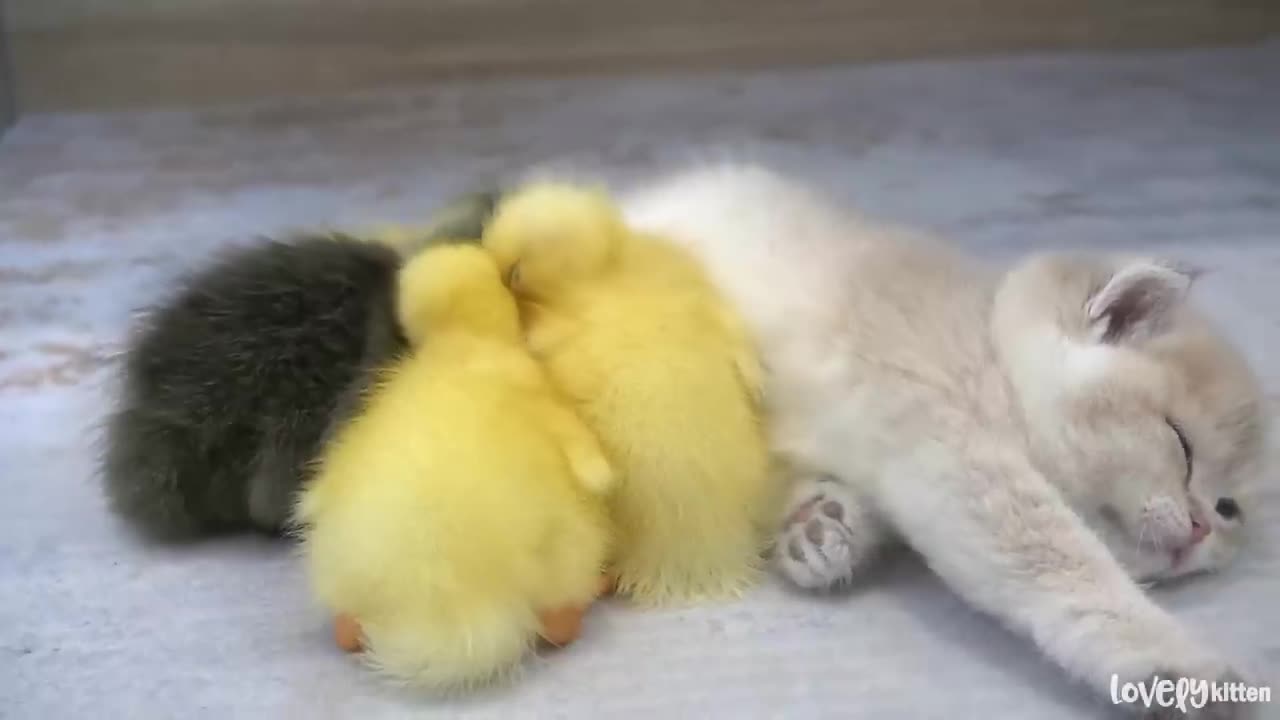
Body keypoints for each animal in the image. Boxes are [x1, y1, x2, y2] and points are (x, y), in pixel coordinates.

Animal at [619, 163, 1269, 717]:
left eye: (1227, 508)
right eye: (1181, 444)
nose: (1200, 530)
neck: (992, 348)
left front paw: (820, 524)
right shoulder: (958, 452)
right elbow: (1067, 566)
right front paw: (1177, 664)